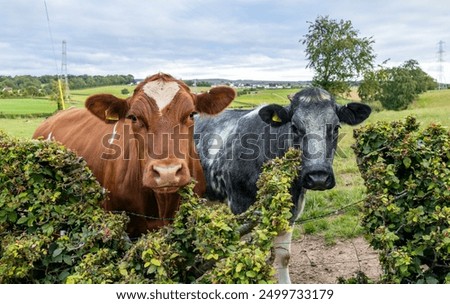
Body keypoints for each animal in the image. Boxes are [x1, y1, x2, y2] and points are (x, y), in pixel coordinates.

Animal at [195, 87, 370, 282]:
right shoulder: (240, 207)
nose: (318, 176)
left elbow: (283, 256)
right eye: (294, 127)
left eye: (336, 127)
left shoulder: (291, 211)